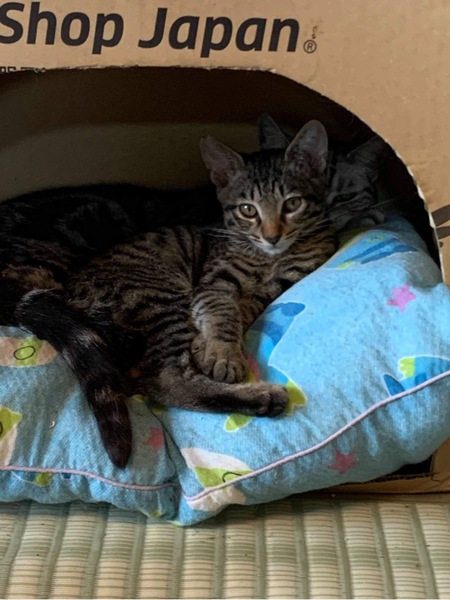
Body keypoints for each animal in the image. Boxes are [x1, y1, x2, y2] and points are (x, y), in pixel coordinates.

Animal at [65, 119, 337, 467]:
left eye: (292, 204)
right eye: (248, 210)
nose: (272, 236)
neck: (270, 259)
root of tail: (70, 295)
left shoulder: (284, 282)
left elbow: (245, 307)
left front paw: (210, 346)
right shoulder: (213, 281)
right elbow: (223, 311)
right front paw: (222, 353)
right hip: (159, 293)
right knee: (165, 377)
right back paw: (259, 396)